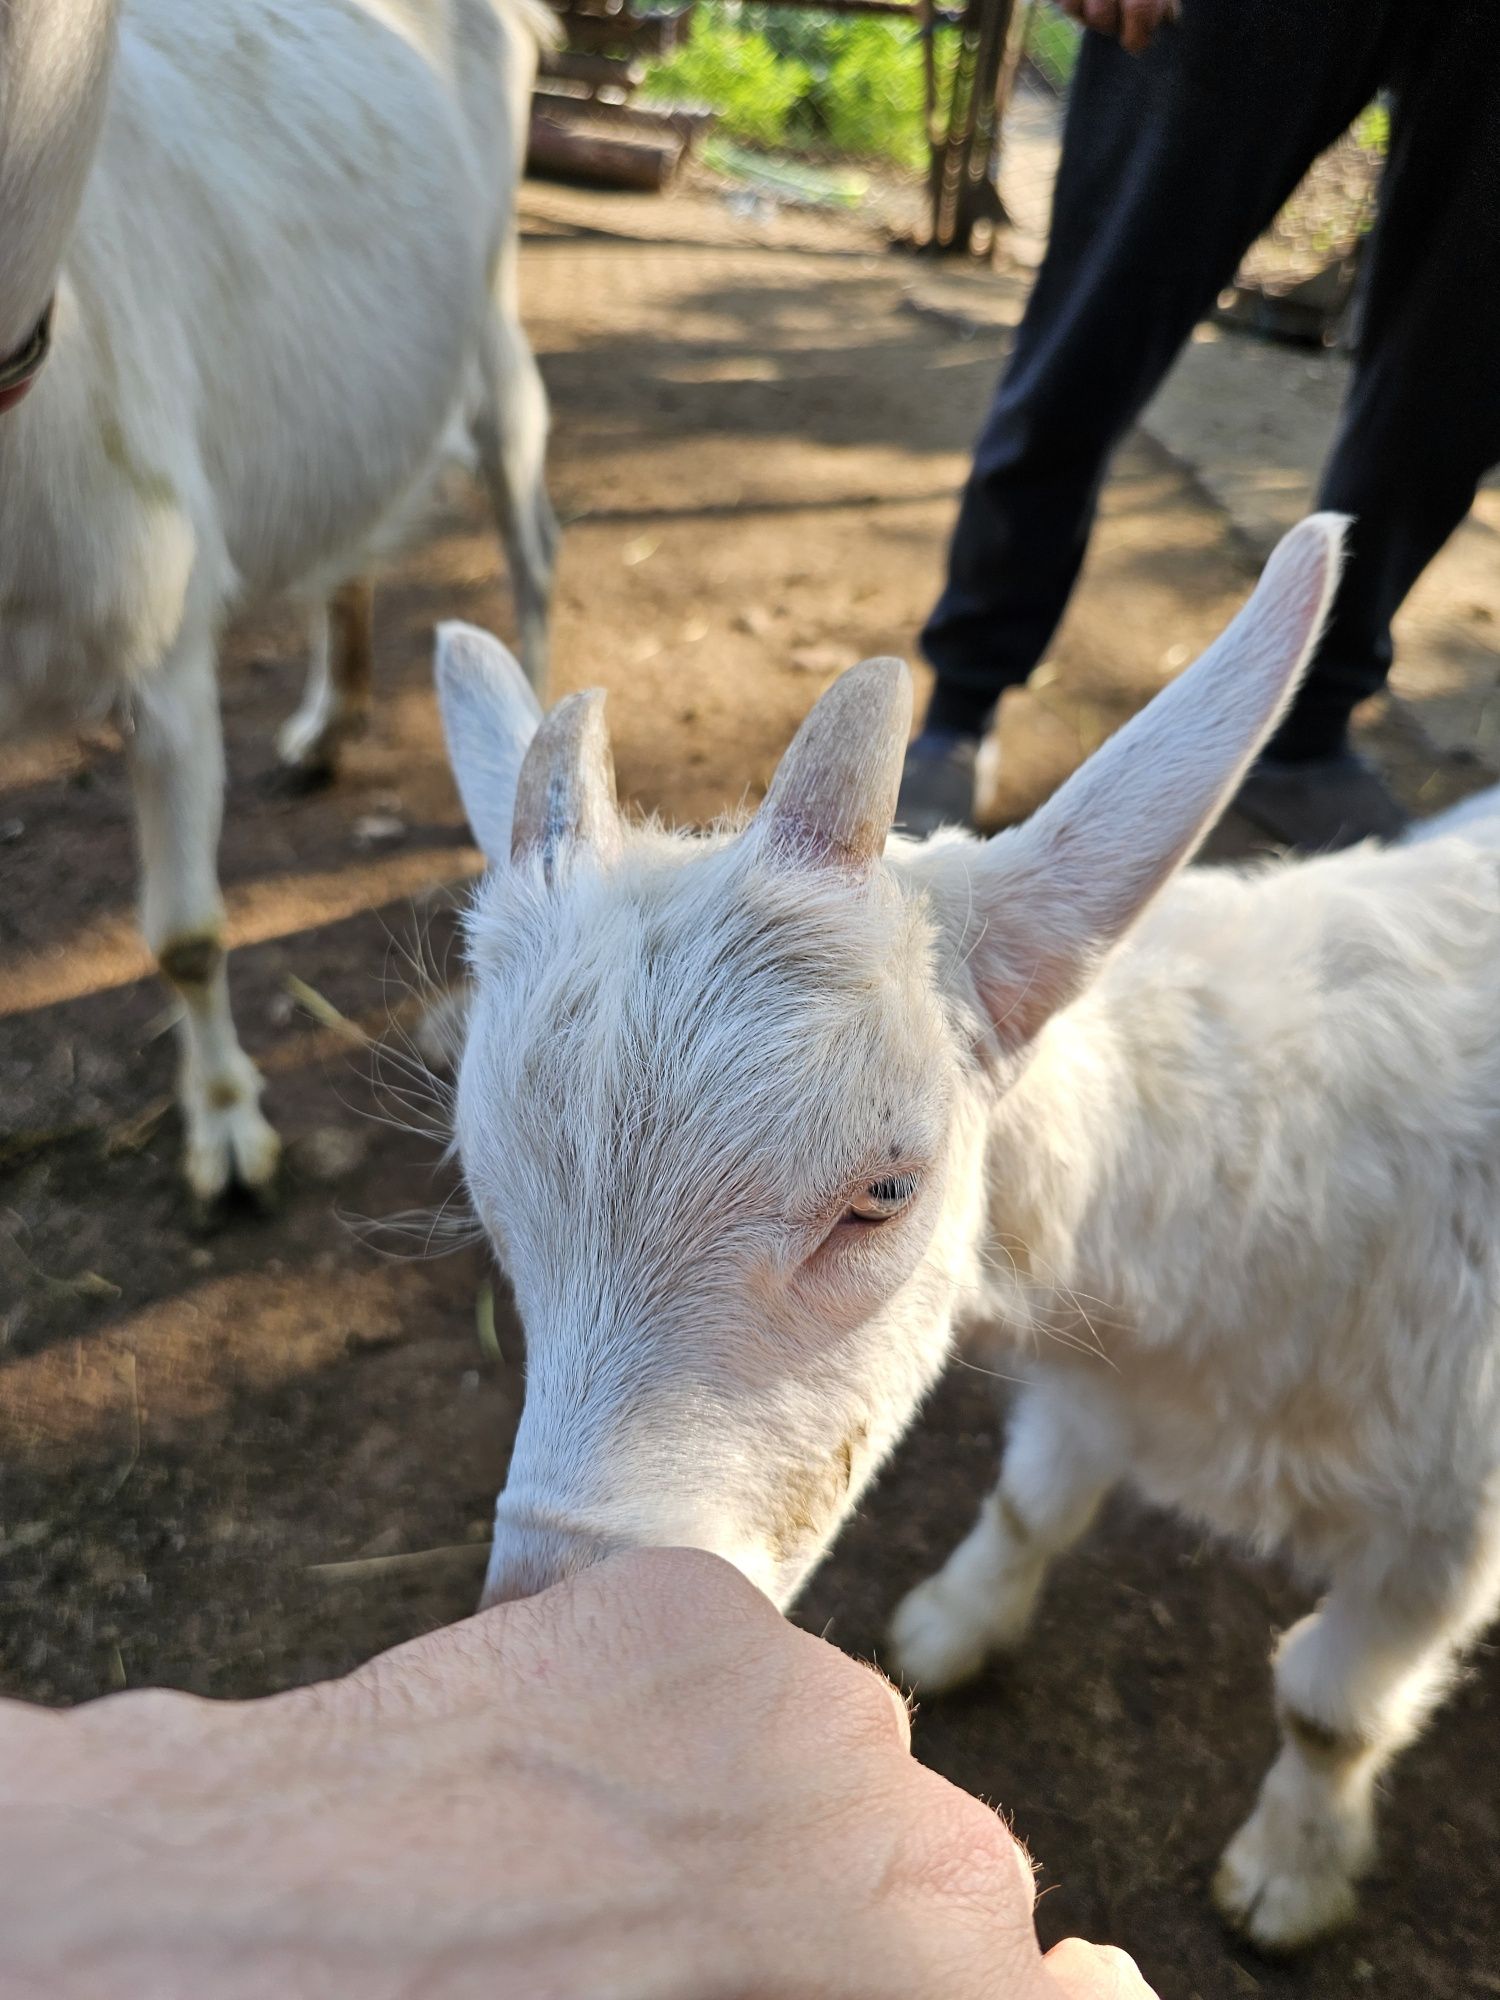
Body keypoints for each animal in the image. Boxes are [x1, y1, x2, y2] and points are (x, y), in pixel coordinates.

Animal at [0, 0, 560, 1200]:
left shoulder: (161, 629)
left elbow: (187, 932)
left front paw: (228, 1134)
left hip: (495, 315)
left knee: (532, 535)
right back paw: (329, 724)